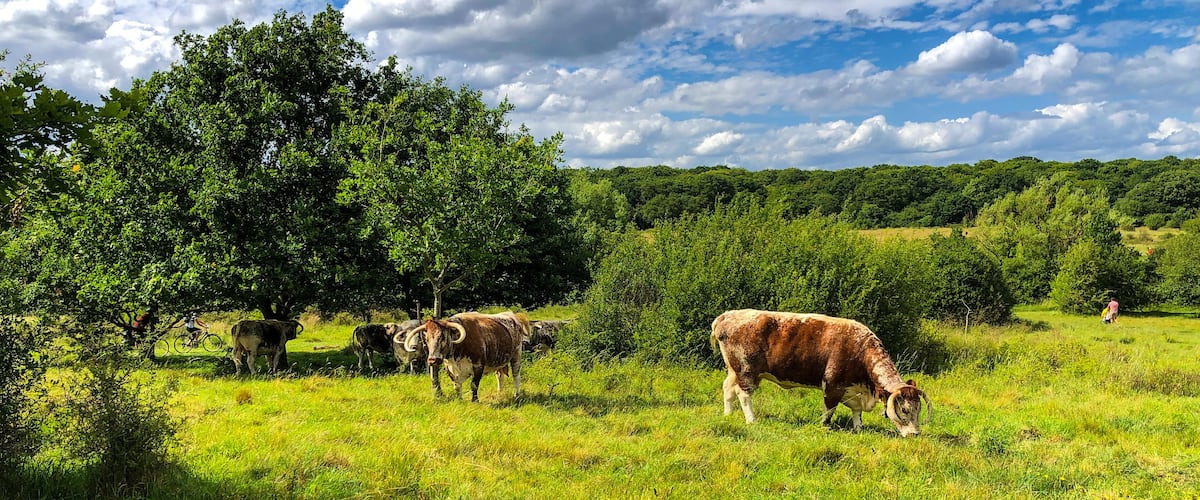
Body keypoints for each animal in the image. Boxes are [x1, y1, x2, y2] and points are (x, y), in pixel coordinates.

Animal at [398, 311, 529, 401]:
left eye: (442, 337)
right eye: (426, 339)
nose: (432, 360)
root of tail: (512, 315)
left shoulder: (478, 366)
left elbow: (474, 385)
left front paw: (475, 401)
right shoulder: (450, 368)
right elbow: (456, 386)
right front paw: (460, 400)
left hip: (516, 356)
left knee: (516, 376)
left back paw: (517, 395)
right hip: (499, 361)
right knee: (500, 376)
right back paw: (499, 394)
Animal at [711, 309, 932, 437]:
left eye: (918, 408)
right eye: (904, 409)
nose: (915, 434)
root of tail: (725, 316)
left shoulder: (853, 390)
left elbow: (856, 412)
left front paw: (858, 428)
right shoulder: (833, 385)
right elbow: (829, 409)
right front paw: (825, 426)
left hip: (733, 370)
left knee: (727, 389)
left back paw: (727, 415)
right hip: (746, 370)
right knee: (743, 394)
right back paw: (751, 420)